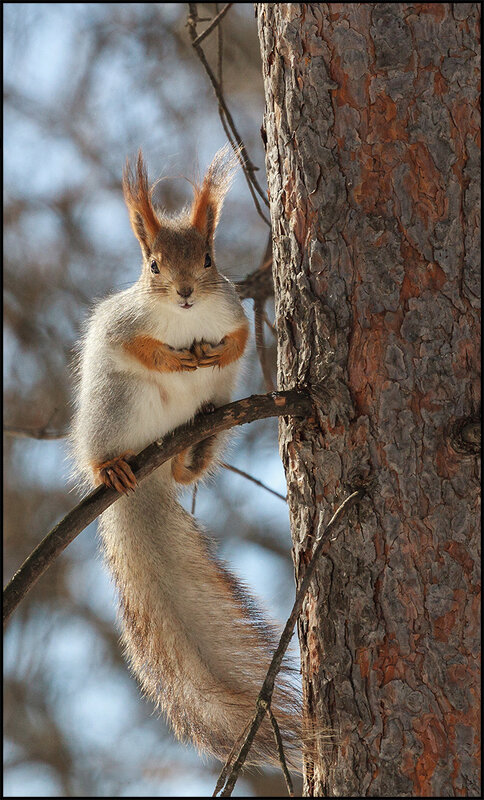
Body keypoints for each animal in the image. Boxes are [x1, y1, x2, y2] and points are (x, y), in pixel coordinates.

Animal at [70, 145, 300, 768]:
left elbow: (240, 338)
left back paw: (188, 458)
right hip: (113, 409)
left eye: (208, 258)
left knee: (195, 447)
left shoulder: (233, 310)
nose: (185, 292)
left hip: (217, 408)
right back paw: (109, 466)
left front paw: (215, 349)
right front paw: (172, 358)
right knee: (106, 446)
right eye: (152, 266)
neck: (188, 319)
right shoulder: (122, 323)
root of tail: (144, 474)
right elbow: (132, 343)